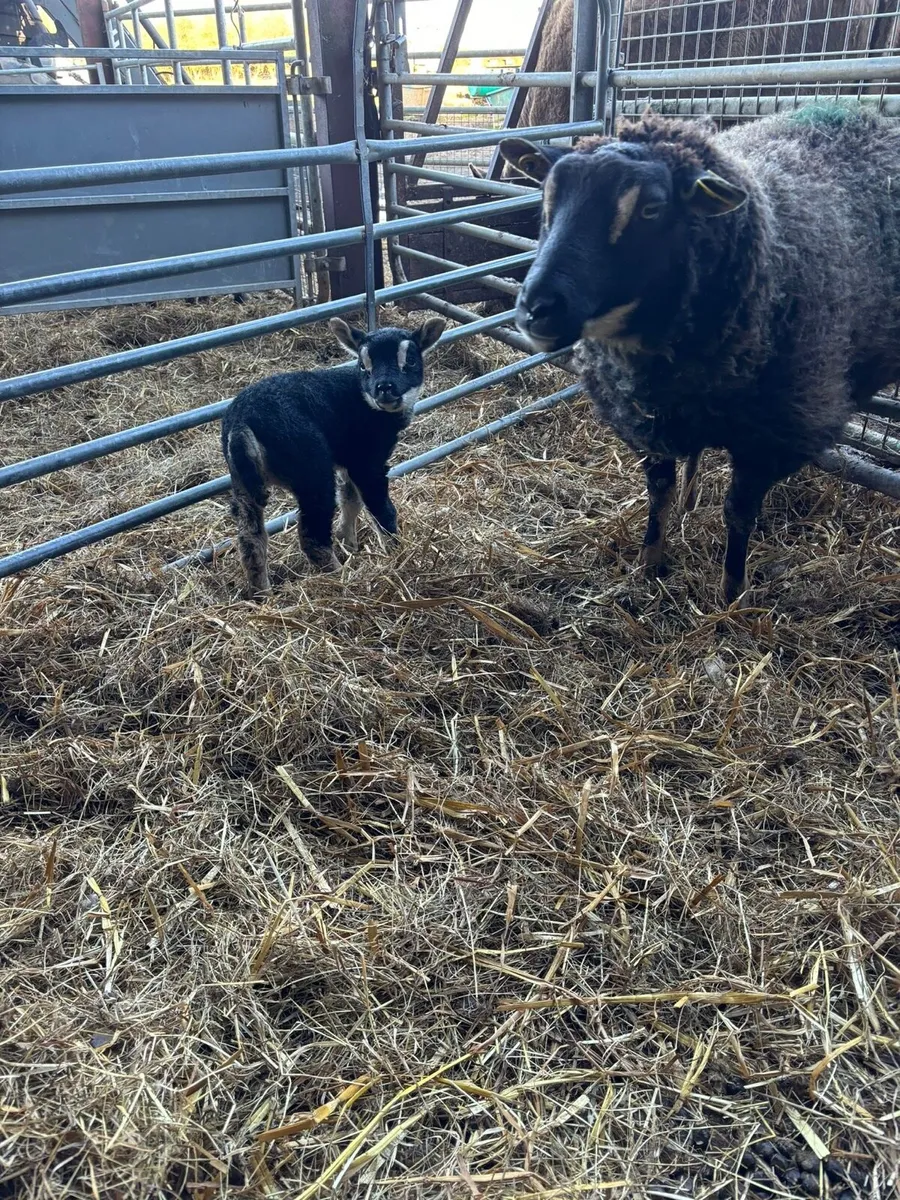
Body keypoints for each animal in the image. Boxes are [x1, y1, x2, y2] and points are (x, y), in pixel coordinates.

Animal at [221, 315, 445, 595]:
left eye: (411, 360)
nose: (384, 388)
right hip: (311, 468)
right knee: (312, 535)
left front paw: (349, 542)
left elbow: (350, 499)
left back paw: (263, 594)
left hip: (242, 481)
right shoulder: (367, 460)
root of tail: (242, 423)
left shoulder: (348, 459)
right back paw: (340, 576)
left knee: (251, 539)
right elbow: (379, 507)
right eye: (362, 365)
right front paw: (396, 550)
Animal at [499, 104, 900, 606]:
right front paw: (650, 560)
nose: (536, 308)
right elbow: (659, 491)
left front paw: (731, 593)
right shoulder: (648, 419)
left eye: (651, 209)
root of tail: (866, 112)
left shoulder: (771, 436)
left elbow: (738, 512)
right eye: (546, 196)